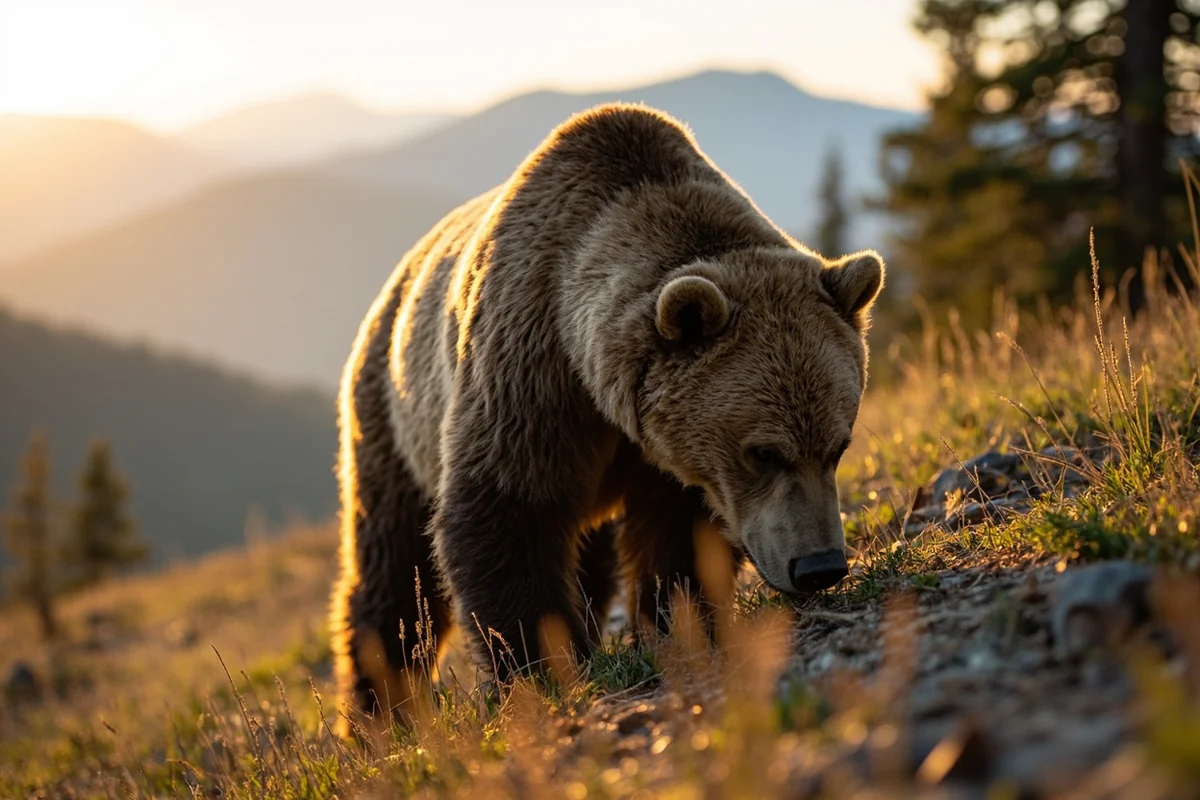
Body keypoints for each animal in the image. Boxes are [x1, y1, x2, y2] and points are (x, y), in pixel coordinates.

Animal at [329, 102, 885, 737]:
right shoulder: (530, 376)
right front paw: (540, 665)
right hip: (392, 417)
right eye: (763, 452)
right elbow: (506, 510)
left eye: (838, 445)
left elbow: (680, 535)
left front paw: (676, 622)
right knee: (393, 570)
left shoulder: (668, 453)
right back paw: (379, 709)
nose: (819, 566)